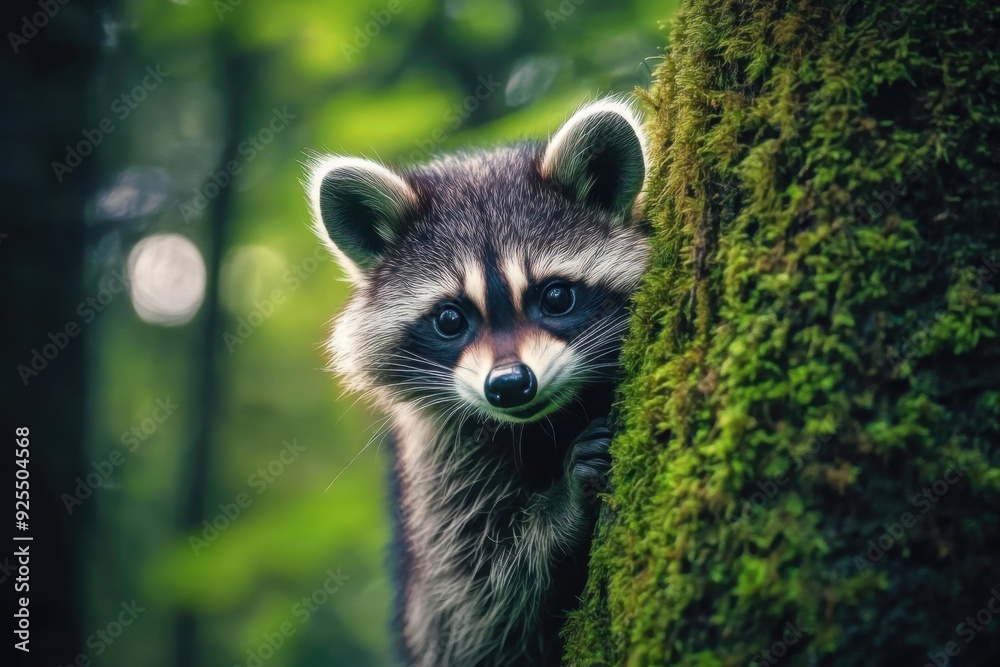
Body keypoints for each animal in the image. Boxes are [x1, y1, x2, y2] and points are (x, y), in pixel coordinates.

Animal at [306, 98, 651, 666]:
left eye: (556, 297)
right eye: (450, 319)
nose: (510, 385)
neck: (546, 420)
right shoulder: (439, 460)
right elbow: (477, 599)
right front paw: (561, 508)